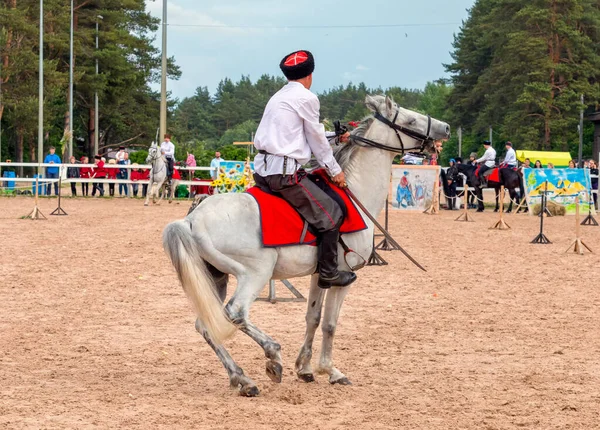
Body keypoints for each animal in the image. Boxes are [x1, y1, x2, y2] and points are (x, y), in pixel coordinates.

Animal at [162, 95, 448, 396]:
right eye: (410, 120)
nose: (446, 129)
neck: (354, 193)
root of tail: (191, 220)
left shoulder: (320, 274)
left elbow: (313, 317)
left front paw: (305, 368)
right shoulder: (343, 278)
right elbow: (330, 324)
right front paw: (330, 370)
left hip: (215, 278)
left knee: (207, 324)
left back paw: (242, 378)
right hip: (255, 274)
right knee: (235, 314)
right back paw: (272, 354)